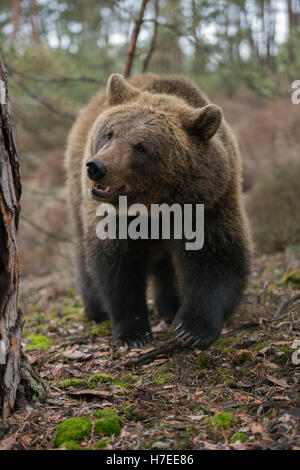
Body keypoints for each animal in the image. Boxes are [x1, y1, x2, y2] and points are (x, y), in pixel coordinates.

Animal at [65, 72, 251, 348]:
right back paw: (97, 309)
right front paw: (132, 332)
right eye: (109, 134)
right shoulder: (115, 218)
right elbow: (117, 266)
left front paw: (192, 329)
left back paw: (169, 305)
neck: (157, 206)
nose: (96, 167)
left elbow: (218, 258)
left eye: (141, 147)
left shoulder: (210, 202)